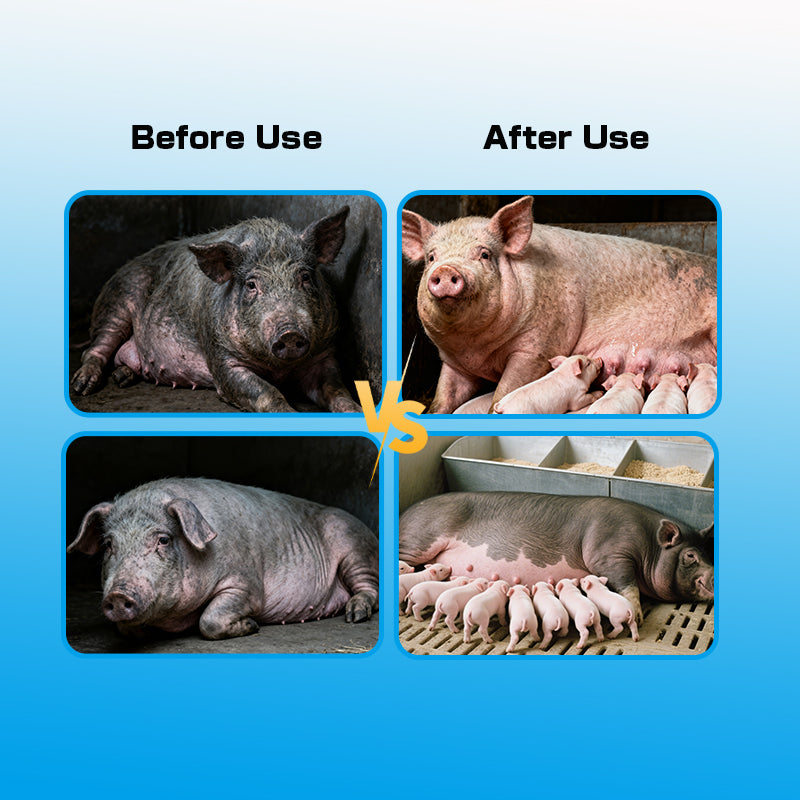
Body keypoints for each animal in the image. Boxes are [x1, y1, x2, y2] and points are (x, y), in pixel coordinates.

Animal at [67, 478, 379, 639]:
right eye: (109, 544)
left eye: (163, 540)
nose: (118, 595)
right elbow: (125, 629)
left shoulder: (246, 585)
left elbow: (210, 620)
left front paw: (252, 626)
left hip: (356, 550)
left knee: (369, 589)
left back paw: (355, 616)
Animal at [71, 208, 361, 413]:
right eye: (251, 285)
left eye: (305, 277)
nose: (289, 332)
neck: (278, 368)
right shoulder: (220, 356)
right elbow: (266, 393)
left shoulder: (324, 353)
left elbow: (339, 391)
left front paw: (357, 411)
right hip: (119, 300)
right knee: (96, 347)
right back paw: (82, 387)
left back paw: (121, 377)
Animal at [400, 492, 714, 626]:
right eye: (690, 555)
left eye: (710, 553)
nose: (713, 575)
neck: (650, 545)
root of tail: (406, 512)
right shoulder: (609, 551)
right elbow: (627, 584)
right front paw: (636, 614)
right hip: (420, 538)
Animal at [402, 196, 716, 413]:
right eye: (431, 257)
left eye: (484, 254)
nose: (446, 270)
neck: (476, 350)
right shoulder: (452, 362)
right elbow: (443, 400)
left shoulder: (538, 347)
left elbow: (504, 390)